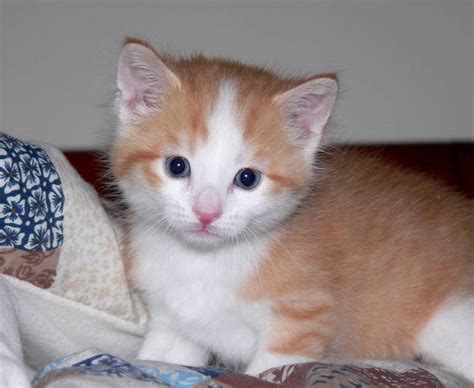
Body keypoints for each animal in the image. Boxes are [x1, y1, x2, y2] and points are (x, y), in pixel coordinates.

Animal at [108, 39, 474, 378]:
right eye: (177, 166)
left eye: (247, 178)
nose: (207, 213)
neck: (204, 261)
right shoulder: (172, 320)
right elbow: (160, 358)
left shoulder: (302, 318)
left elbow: (268, 371)